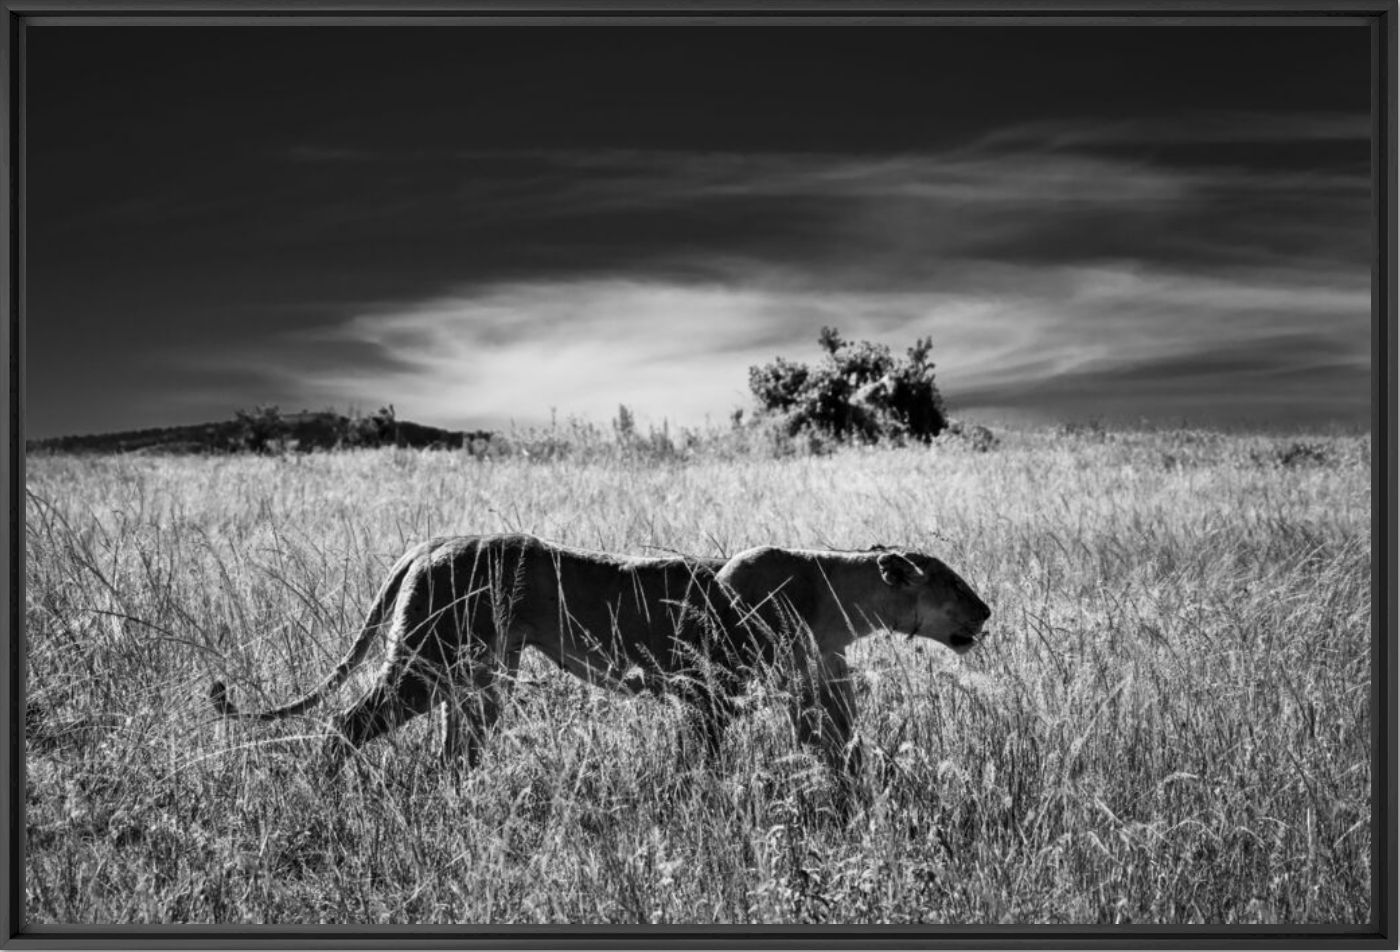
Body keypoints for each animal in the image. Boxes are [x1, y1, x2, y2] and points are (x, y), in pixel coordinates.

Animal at [210, 533, 990, 781]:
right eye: (953, 584)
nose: (986, 613)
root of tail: (430, 542)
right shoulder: (710, 689)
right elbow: (707, 757)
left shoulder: (808, 687)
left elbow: (840, 746)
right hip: (424, 665)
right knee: (344, 722)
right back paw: (323, 787)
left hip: (482, 677)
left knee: (454, 748)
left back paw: (462, 798)